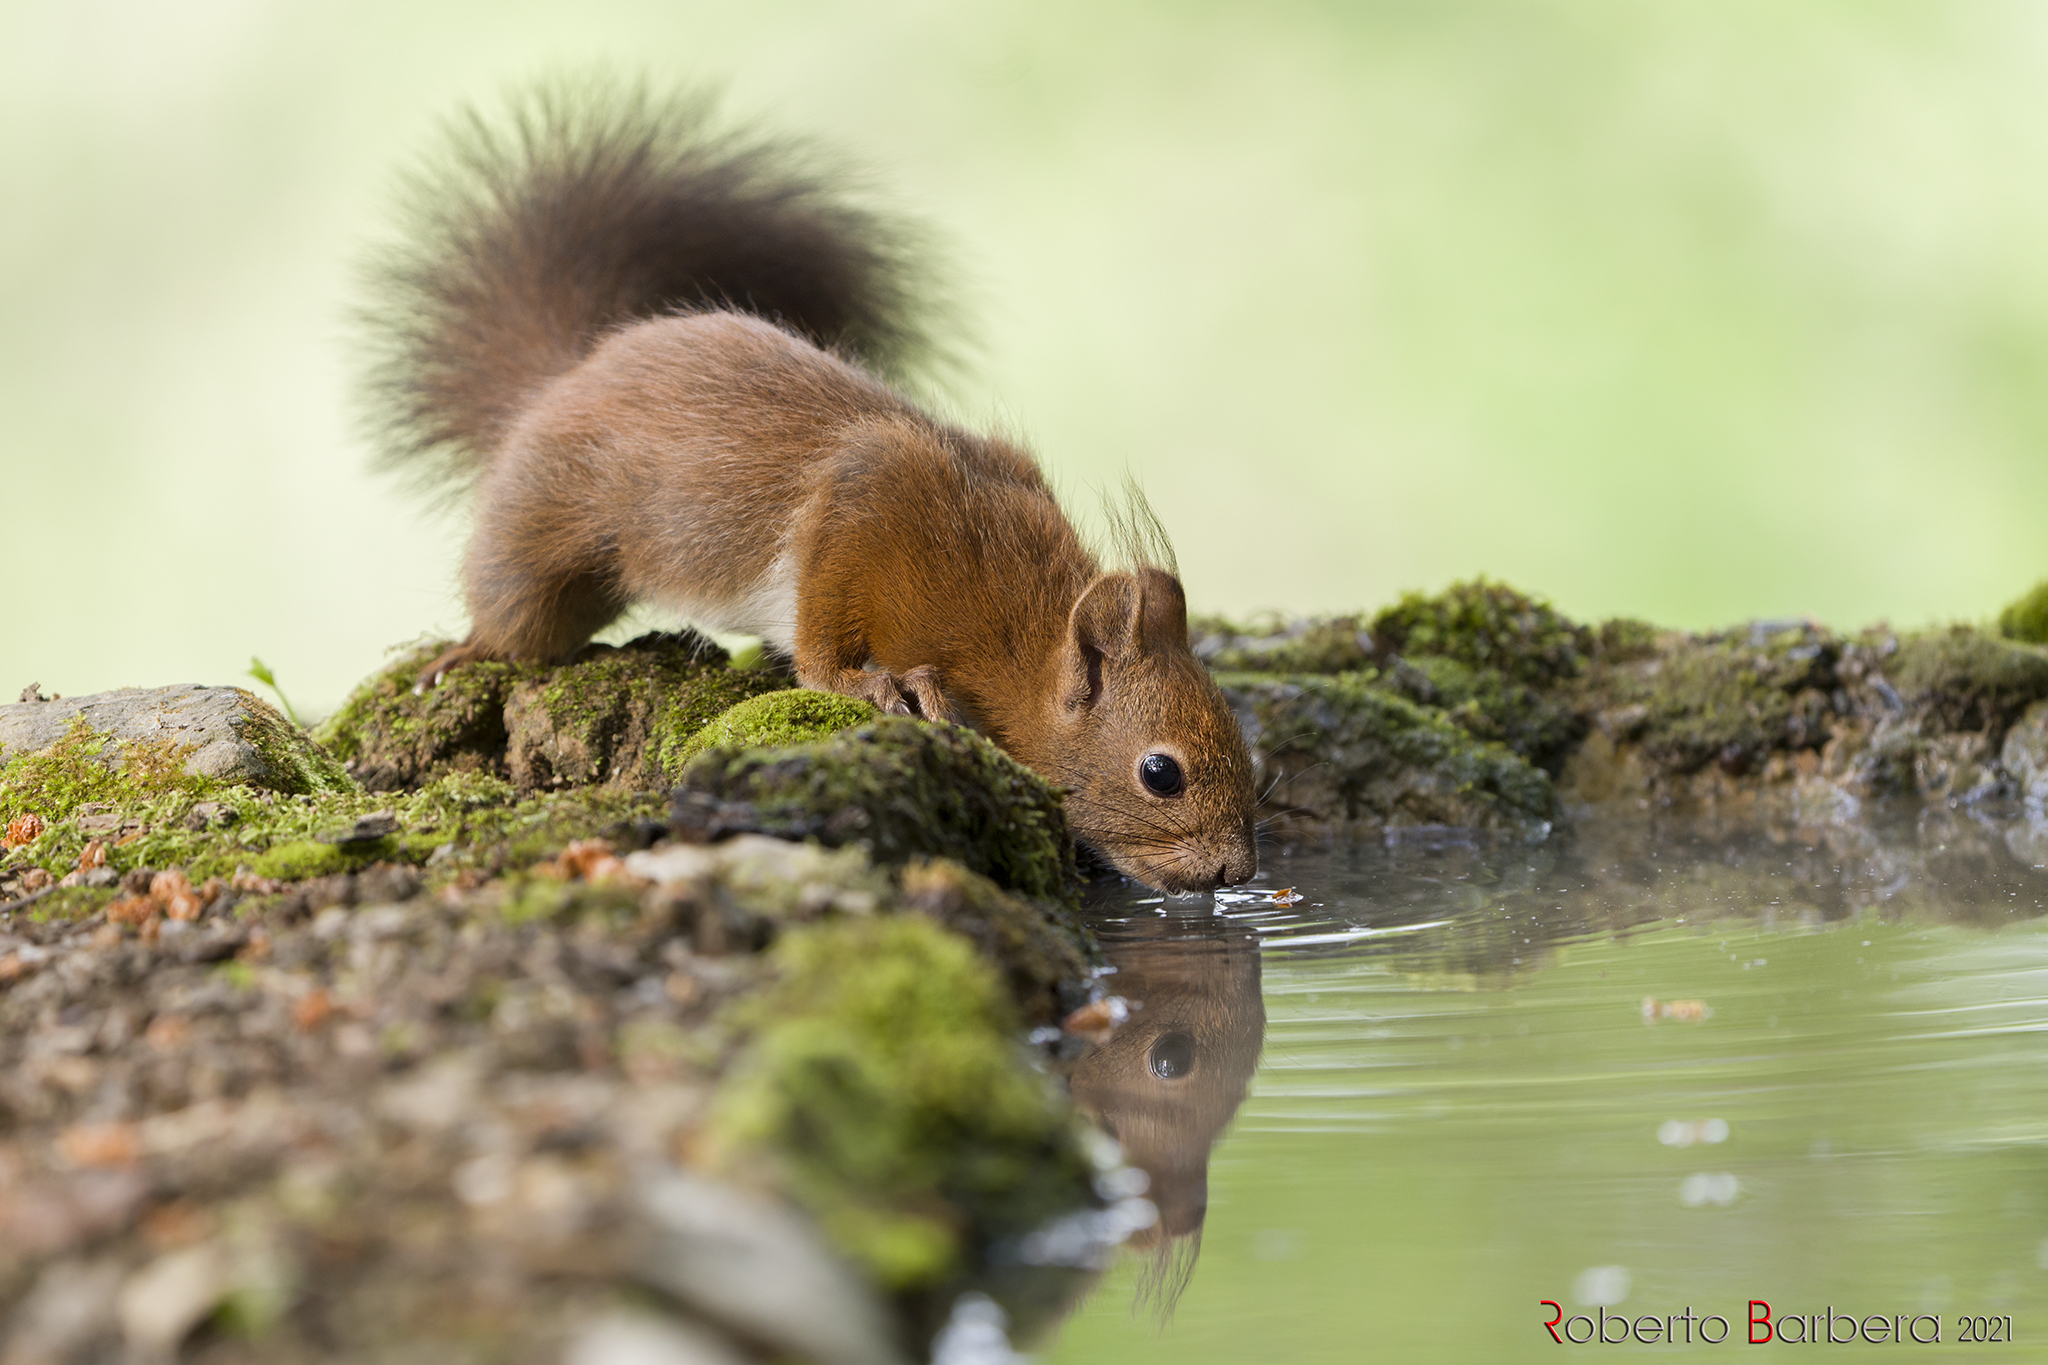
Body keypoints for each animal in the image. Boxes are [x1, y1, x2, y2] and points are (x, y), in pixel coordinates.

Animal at [360, 86, 1257, 893]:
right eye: (1161, 772)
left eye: (1243, 742)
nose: (1234, 872)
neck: (1012, 627)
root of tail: (563, 378)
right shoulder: (865, 502)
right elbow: (822, 634)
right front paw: (878, 685)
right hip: (540, 538)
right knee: (515, 613)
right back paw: (464, 651)